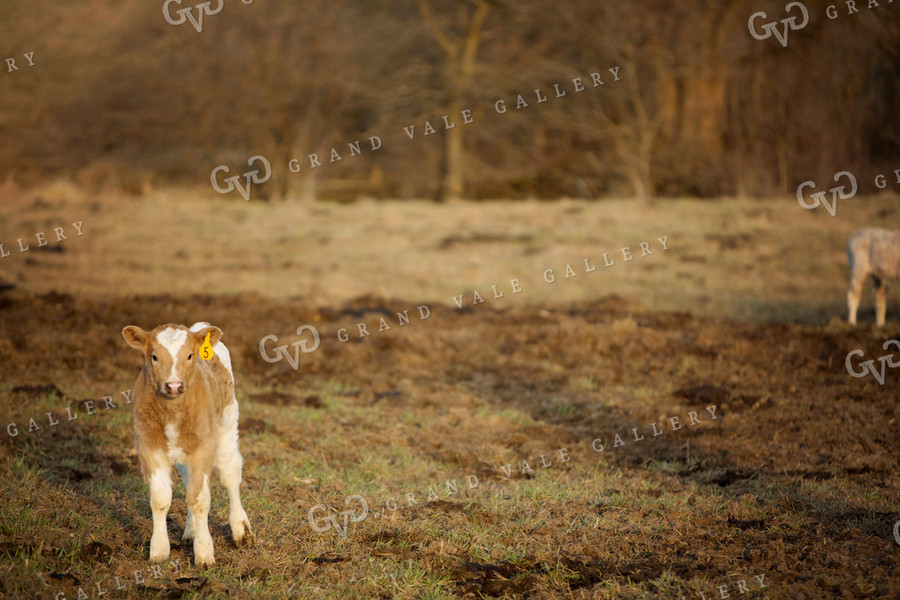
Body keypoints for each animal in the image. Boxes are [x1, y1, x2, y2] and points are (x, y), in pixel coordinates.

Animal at [121, 322, 251, 564]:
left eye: (190, 355)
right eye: (154, 356)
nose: (173, 385)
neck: (173, 411)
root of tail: (200, 327)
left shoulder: (204, 445)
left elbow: (200, 499)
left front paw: (204, 553)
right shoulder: (148, 445)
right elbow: (161, 498)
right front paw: (159, 550)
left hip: (227, 422)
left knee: (230, 472)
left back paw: (241, 530)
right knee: (190, 480)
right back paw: (191, 531)